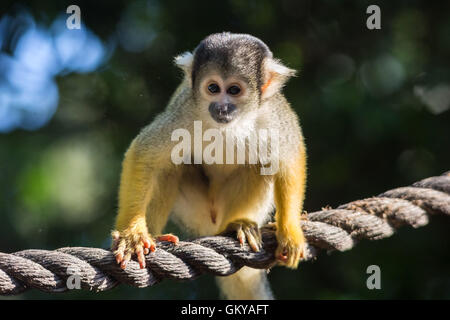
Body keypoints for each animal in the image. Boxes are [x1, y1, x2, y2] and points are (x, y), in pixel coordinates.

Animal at [112, 33, 308, 300]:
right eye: (213, 88)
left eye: (234, 90)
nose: (222, 107)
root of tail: (212, 227)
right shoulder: (185, 110)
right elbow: (145, 153)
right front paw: (132, 234)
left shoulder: (273, 113)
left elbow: (290, 160)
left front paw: (290, 233)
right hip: (195, 214)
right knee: (171, 165)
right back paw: (155, 237)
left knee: (259, 162)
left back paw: (239, 224)